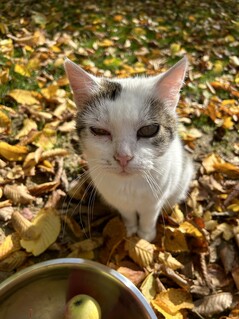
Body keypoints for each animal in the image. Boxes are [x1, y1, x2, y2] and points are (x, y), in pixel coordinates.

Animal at [64, 57, 193, 242]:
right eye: (99, 131)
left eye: (148, 130)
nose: (123, 157)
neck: (129, 186)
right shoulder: (119, 201)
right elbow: (128, 215)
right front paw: (130, 230)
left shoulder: (154, 202)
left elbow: (148, 217)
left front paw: (145, 236)